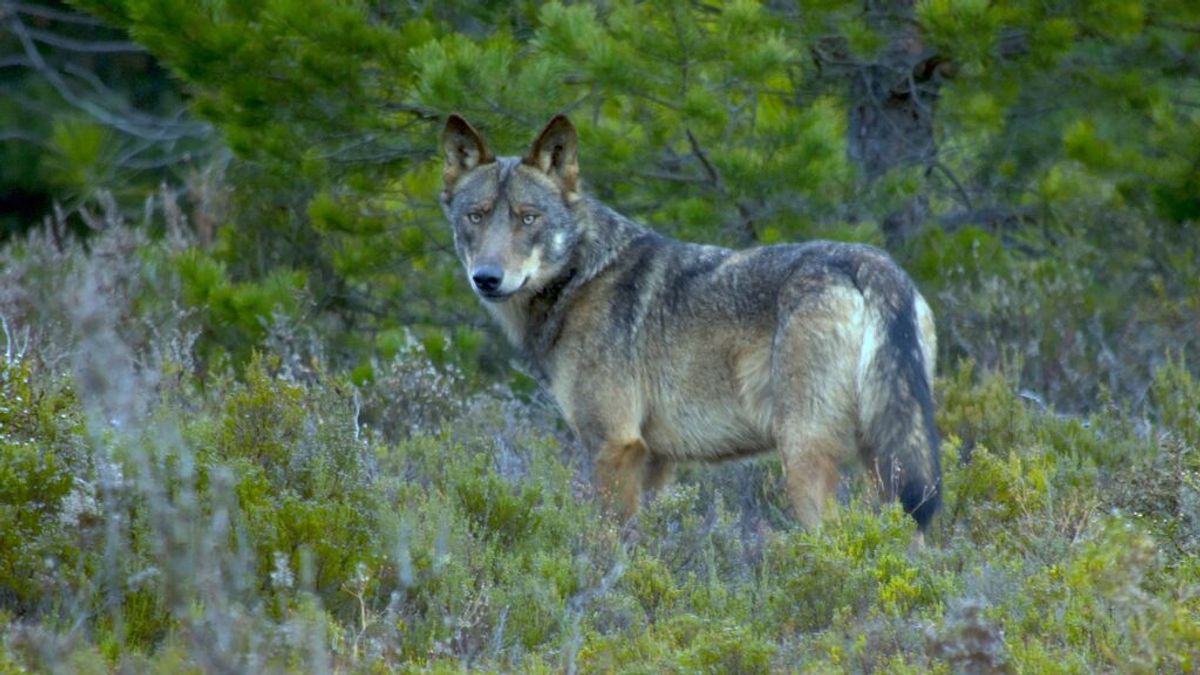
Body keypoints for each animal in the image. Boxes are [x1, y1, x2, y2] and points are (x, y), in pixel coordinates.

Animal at [441, 114, 945, 530]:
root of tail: (871, 263)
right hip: (885, 465)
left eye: (528, 218)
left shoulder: (613, 445)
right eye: (475, 216)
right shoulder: (656, 460)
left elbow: (603, 543)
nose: (487, 278)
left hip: (805, 458)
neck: (581, 276)